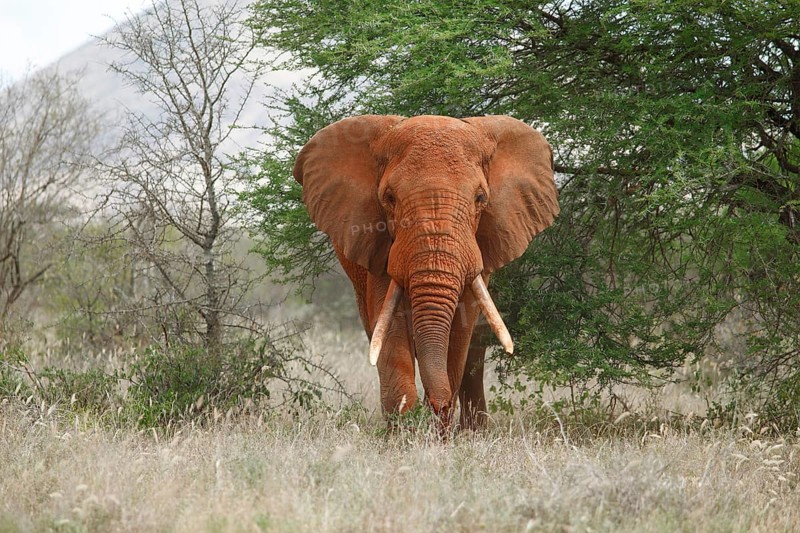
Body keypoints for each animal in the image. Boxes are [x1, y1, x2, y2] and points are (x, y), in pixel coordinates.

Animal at [293, 115, 559, 430]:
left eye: (480, 198)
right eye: (389, 198)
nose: (437, 404)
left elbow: (460, 330)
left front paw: (439, 429)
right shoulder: (382, 247)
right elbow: (391, 330)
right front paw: (403, 431)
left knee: (474, 349)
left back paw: (472, 431)